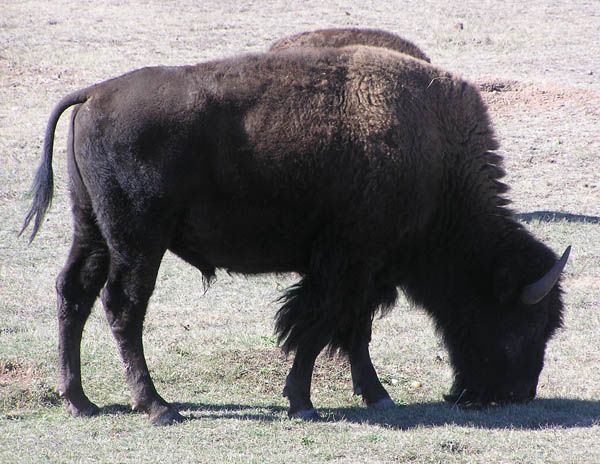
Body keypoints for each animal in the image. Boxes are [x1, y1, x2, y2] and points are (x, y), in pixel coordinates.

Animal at [21, 45, 568, 426]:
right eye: (523, 321)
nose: (517, 394)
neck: (436, 161)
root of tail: (93, 94)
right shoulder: (346, 265)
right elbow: (317, 327)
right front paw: (303, 402)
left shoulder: (363, 272)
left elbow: (353, 331)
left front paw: (376, 396)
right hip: (138, 242)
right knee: (122, 307)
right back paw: (156, 406)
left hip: (92, 230)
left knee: (74, 293)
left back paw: (81, 402)